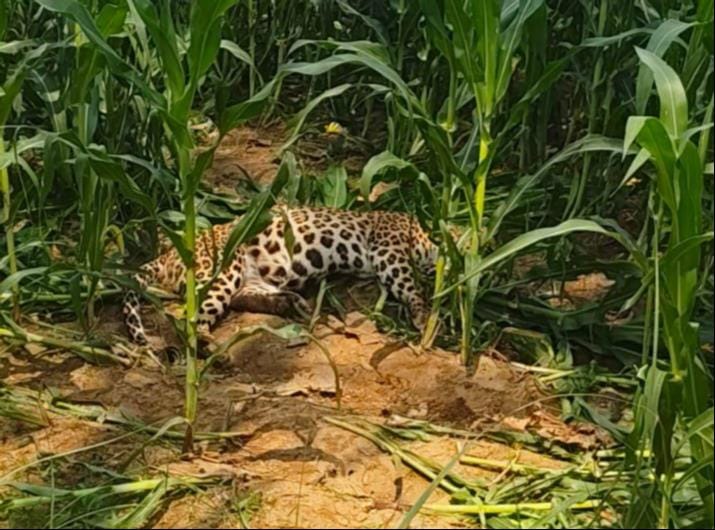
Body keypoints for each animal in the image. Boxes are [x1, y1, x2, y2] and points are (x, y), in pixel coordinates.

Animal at [123, 206, 439, 346]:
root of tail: (169, 253)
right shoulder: (389, 251)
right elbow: (411, 287)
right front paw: (424, 318)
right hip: (221, 269)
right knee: (189, 315)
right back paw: (209, 344)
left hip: (251, 277)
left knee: (239, 298)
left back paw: (290, 304)